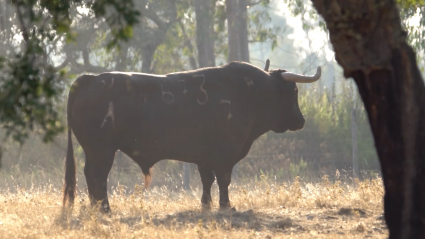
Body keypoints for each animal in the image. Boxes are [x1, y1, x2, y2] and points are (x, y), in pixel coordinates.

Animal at [63, 60, 320, 212]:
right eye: (294, 90)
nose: (301, 120)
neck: (247, 92)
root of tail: (91, 78)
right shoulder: (224, 155)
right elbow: (224, 180)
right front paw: (226, 206)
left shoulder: (204, 158)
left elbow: (207, 181)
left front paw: (206, 205)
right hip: (103, 150)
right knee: (98, 176)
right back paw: (104, 208)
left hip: (95, 151)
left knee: (90, 175)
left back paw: (95, 207)